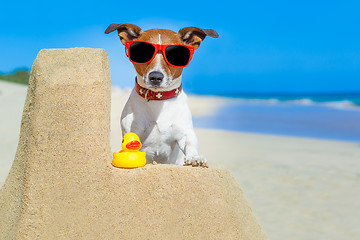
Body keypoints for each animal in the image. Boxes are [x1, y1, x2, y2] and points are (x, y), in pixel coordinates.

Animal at [105, 23, 218, 167]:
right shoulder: (133, 131)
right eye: (142, 53)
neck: (159, 99)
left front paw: (195, 158)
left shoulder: (185, 132)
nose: (155, 77)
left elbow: (190, 144)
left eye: (176, 55)